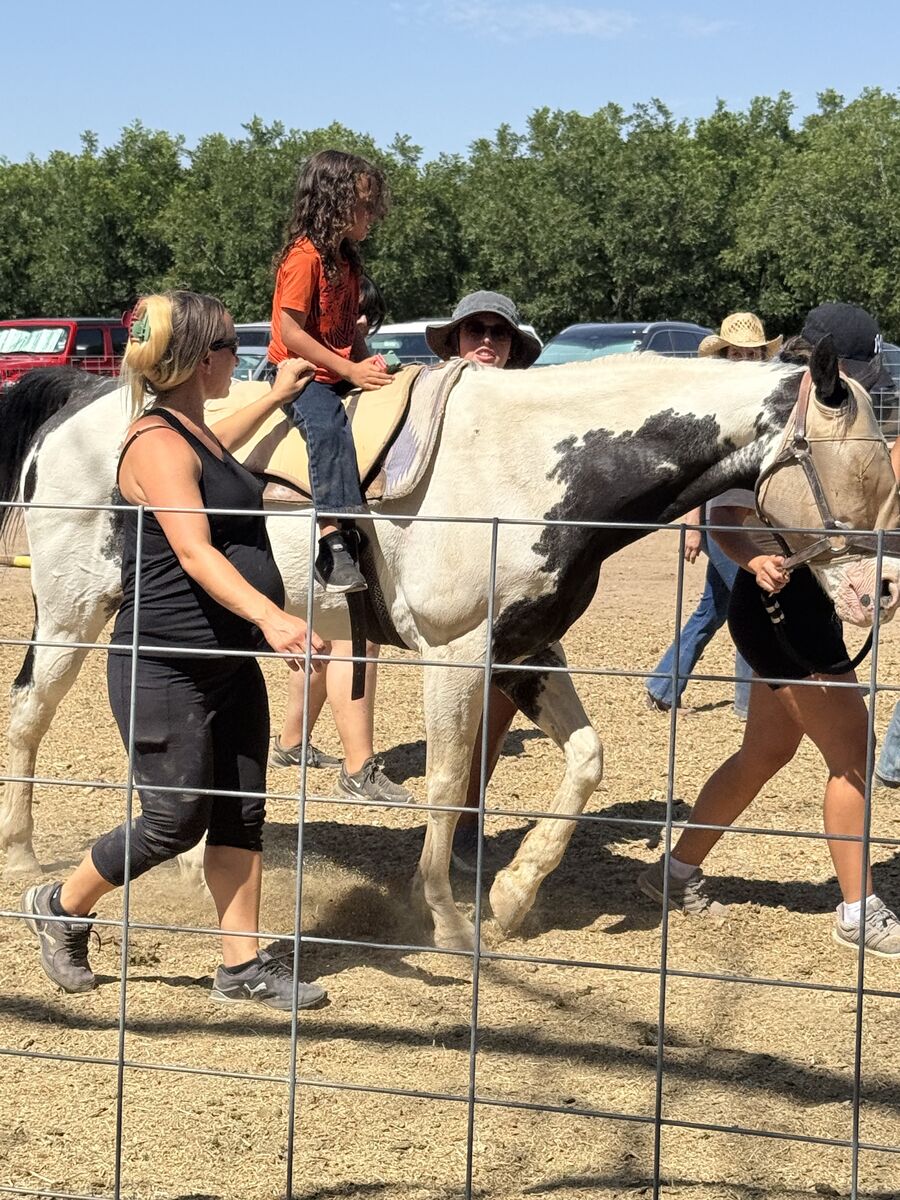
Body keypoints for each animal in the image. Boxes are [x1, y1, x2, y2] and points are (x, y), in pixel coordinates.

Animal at [1, 338, 897, 951]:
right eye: (854, 472)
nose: (876, 594)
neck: (532, 463)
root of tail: (89, 395)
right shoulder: (457, 651)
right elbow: (444, 782)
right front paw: (447, 919)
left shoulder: (529, 649)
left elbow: (586, 759)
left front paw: (513, 894)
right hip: (72, 615)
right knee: (29, 720)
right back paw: (21, 857)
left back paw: (186, 865)